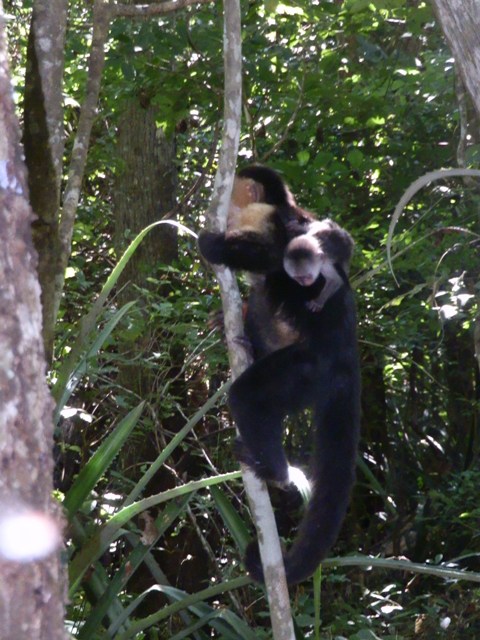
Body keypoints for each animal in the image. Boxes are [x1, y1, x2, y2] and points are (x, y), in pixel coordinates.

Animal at [196, 166, 360, 584]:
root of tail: (347, 359)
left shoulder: (269, 218)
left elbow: (275, 255)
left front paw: (212, 245)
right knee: (262, 305)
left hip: (310, 369)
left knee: (248, 395)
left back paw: (274, 471)